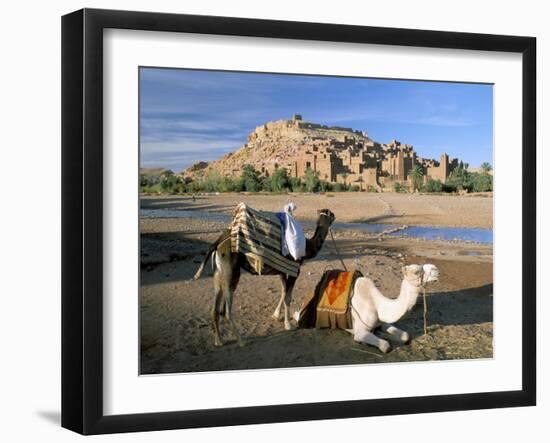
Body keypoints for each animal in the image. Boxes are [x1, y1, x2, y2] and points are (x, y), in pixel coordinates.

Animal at [194, 210, 336, 348]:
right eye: (330, 214)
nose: (334, 216)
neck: (307, 247)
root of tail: (217, 244)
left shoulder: (282, 271)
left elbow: (283, 292)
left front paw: (276, 315)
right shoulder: (294, 271)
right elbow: (288, 297)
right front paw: (288, 325)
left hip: (219, 275)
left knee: (215, 308)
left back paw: (218, 341)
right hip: (231, 273)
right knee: (226, 311)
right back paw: (242, 341)